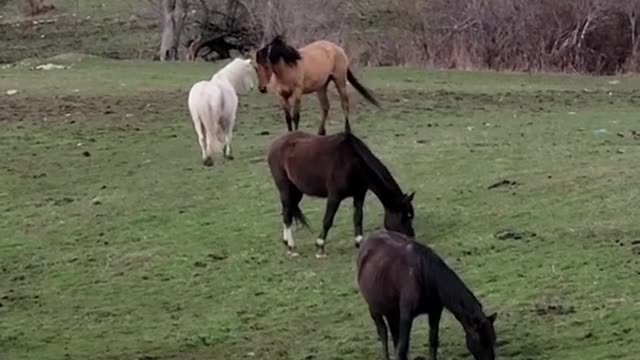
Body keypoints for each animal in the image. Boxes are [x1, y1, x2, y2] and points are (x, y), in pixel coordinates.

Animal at [251, 34, 380, 135]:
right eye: (256, 68)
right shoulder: (281, 96)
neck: (287, 70)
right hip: (321, 87)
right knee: (325, 107)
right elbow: (288, 118)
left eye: (266, 66)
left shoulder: (297, 93)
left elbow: (296, 116)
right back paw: (321, 132)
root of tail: (337, 48)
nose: (262, 88)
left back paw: (347, 130)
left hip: (340, 80)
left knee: (344, 103)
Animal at [264, 130, 416, 258]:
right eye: (405, 216)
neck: (353, 162)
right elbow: (328, 220)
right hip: (285, 188)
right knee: (287, 213)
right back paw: (291, 247)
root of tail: (275, 144)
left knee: (288, 211)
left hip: (297, 191)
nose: (411, 238)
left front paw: (359, 243)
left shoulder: (359, 194)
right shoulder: (334, 196)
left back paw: (286, 242)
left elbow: (358, 217)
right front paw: (320, 246)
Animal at [356, 231, 500, 360]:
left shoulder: (435, 311)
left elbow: (432, 341)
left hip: (391, 311)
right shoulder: (406, 315)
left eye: (493, 340)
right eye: (481, 340)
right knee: (383, 333)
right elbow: (402, 347)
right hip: (374, 308)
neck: (424, 275)